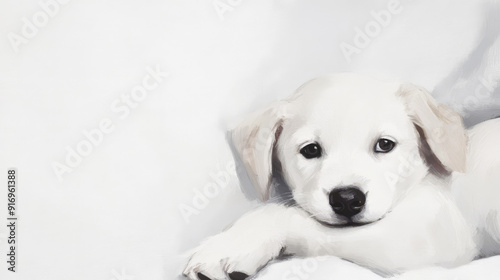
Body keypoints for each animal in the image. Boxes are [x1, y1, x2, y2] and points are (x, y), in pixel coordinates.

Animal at [183, 74, 500, 280]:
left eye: (385, 145)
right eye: (310, 150)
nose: (347, 199)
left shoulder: (429, 238)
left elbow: (292, 217)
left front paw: (231, 245)